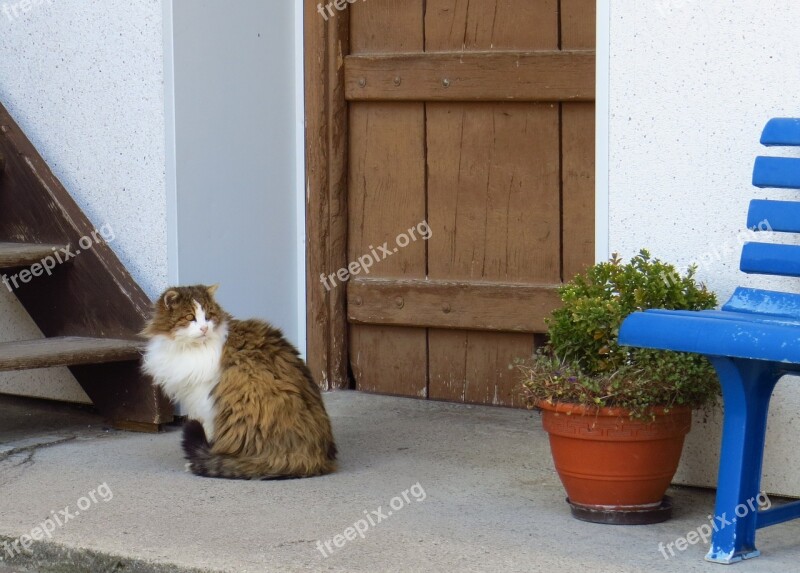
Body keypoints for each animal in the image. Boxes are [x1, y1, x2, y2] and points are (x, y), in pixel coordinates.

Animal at [139, 282, 336, 478]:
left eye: (208, 316)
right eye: (190, 317)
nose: (204, 329)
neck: (188, 348)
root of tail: (315, 458)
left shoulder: (204, 399)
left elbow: (208, 430)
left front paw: (202, 456)